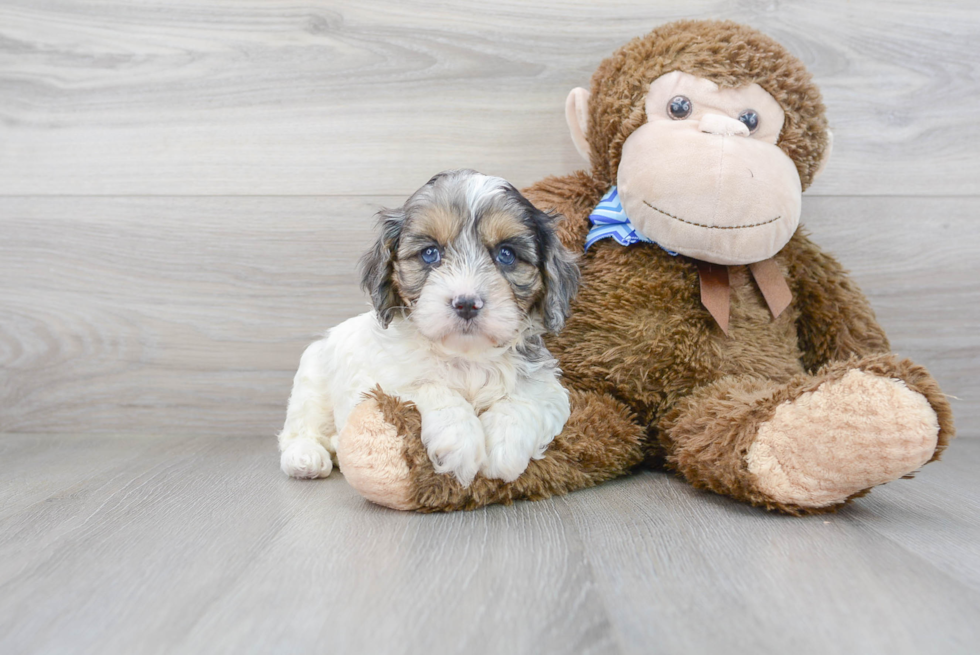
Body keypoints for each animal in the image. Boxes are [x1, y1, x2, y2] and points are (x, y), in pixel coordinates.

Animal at [276, 169, 580, 486]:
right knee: (300, 429)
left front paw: (504, 446)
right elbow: (429, 386)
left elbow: (526, 399)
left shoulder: (547, 386)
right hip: (311, 382)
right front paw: (461, 441)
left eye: (506, 254)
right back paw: (305, 457)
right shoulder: (381, 381)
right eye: (430, 253)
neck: (466, 356)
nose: (467, 303)